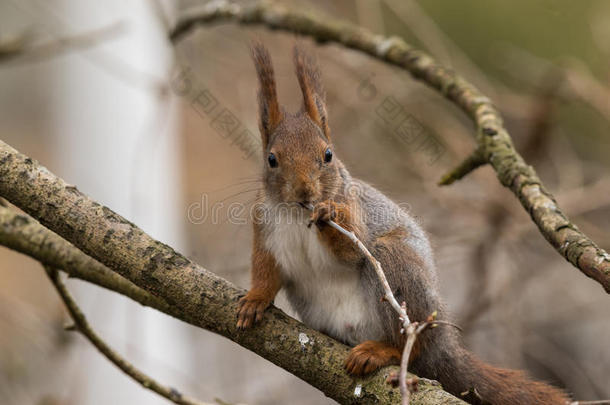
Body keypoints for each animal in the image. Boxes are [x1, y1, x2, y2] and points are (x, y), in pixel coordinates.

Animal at [235, 42, 568, 402]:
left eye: (328, 155)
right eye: (271, 159)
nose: (304, 192)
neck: (297, 215)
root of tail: (444, 346)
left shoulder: (357, 211)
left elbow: (353, 249)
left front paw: (328, 215)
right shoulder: (264, 231)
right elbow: (265, 271)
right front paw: (254, 301)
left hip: (398, 269)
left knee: (411, 344)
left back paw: (381, 351)